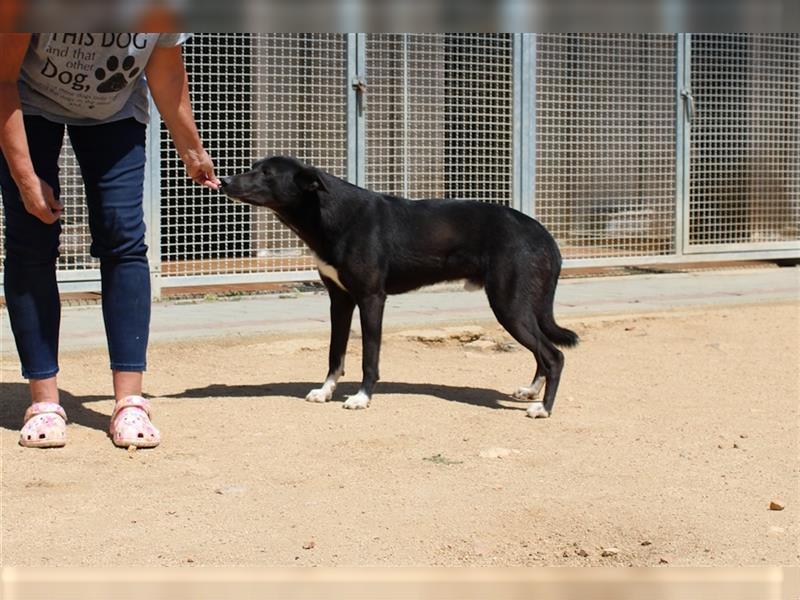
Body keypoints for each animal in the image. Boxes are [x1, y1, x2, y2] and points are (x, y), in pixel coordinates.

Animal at [222, 155, 580, 418]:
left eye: (266, 173)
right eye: (253, 166)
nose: (224, 180)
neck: (331, 213)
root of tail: (542, 233)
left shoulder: (371, 298)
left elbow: (369, 355)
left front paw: (361, 397)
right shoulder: (340, 300)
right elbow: (335, 352)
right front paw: (325, 391)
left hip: (509, 305)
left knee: (555, 355)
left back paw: (543, 408)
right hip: (521, 306)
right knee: (543, 351)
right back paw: (531, 391)